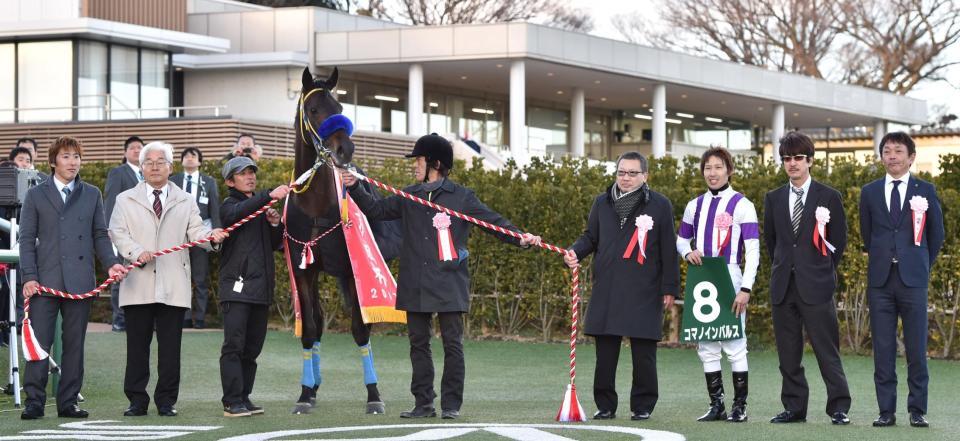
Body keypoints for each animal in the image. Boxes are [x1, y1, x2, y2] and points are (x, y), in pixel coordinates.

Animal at [284, 65, 402, 412]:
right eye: (313, 110)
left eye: (339, 108)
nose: (344, 149)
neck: (315, 208)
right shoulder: (303, 269)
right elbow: (310, 328)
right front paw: (305, 394)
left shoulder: (351, 269)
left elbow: (361, 328)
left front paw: (374, 395)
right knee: (318, 321)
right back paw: (313, 384)